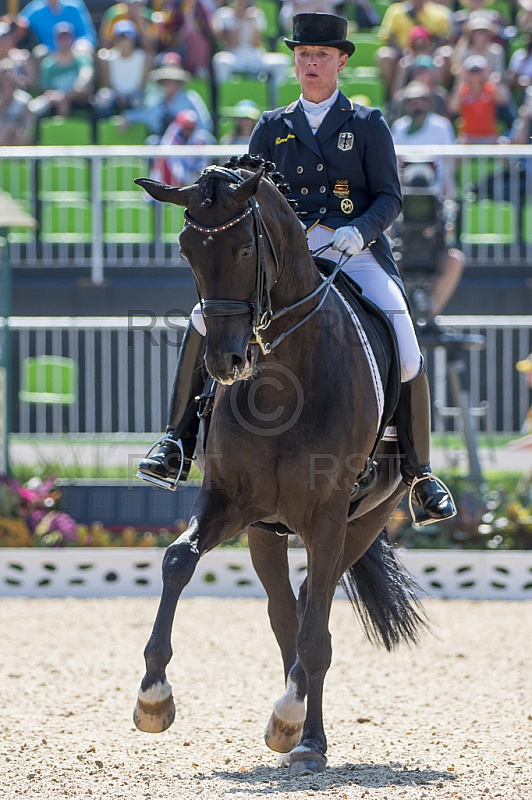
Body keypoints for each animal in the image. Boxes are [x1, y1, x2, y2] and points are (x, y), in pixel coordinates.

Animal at [135, 156, 426, 776]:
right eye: (187, 250)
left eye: (246, 248)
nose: (225, 362)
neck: (281, 383)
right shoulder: (228, 502)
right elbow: (177, 561)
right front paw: (153, 697)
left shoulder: (327, 518)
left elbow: (316, 633)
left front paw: (298, 728)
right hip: (265, 533)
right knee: (285, 615)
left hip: (364, 521)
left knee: (314, 614)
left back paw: (304, 731)